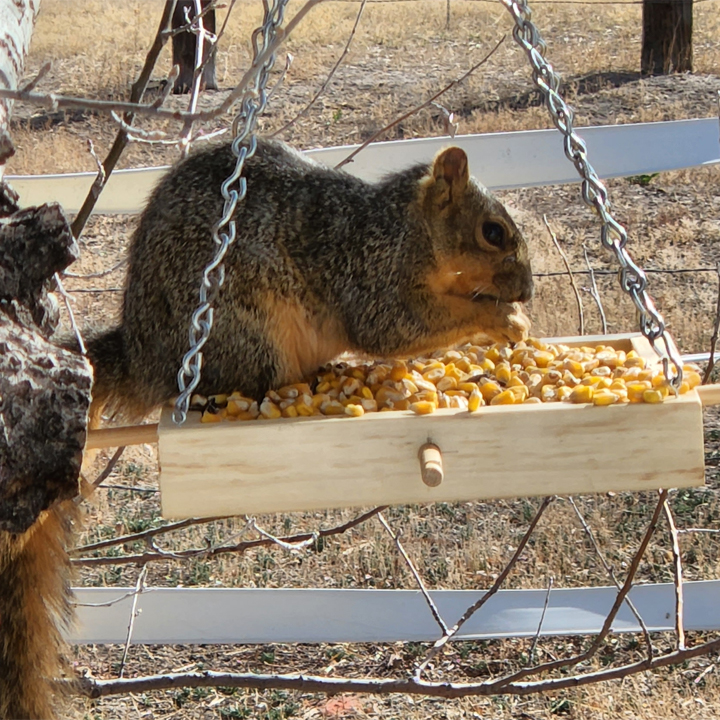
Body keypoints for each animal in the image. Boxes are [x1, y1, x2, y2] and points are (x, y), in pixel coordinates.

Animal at [87, 138, 532, 420]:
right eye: (492, 232)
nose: (527, 291)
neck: (403, 228)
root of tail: (142, 359)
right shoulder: (367, 273)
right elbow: (392, 327)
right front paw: (504, 318)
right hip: (242, 331)